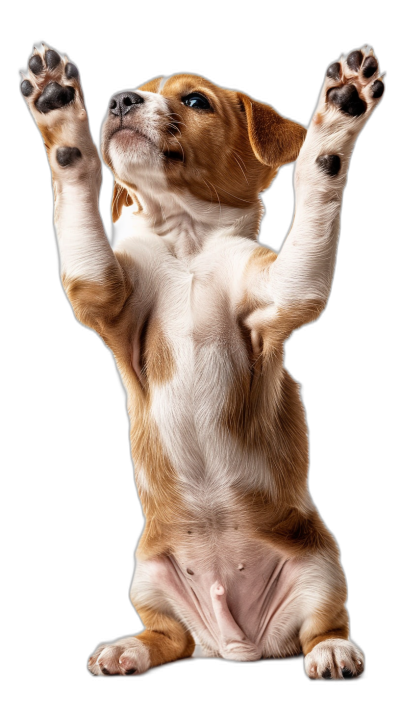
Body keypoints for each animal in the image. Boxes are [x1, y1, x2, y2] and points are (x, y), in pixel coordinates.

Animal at [21, 43, 384, 680]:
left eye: (195, 101)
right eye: (134, 91)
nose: (120, 101)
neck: (186, 243)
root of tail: (232, 640)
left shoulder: (283, 293)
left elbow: (318, 175)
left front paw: (340, 113)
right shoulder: (104, 293)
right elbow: (75, 186)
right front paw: (57, 108)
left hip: (321, 571)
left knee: (322, 626)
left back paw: (334, 653)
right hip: (149, 577)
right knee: (169, 636)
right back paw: (126, 649)